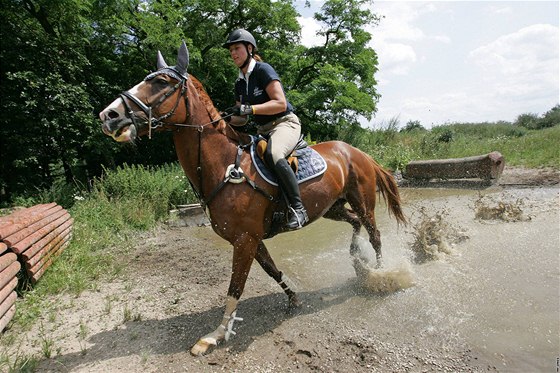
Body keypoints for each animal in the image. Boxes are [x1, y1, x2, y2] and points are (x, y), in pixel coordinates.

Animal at [98, 41, 404, 354]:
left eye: (161, 82)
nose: (109, 116)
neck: (223, 165)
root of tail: (357, 151)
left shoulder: (245, 240)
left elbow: (235, 287)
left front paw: (215, 335)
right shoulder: (251, 239)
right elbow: (272, 270)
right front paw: (293, 299)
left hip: (363, 202)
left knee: (374, 234)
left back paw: (380, 273)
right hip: (331, 207)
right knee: (354, 224)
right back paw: (357, 259)